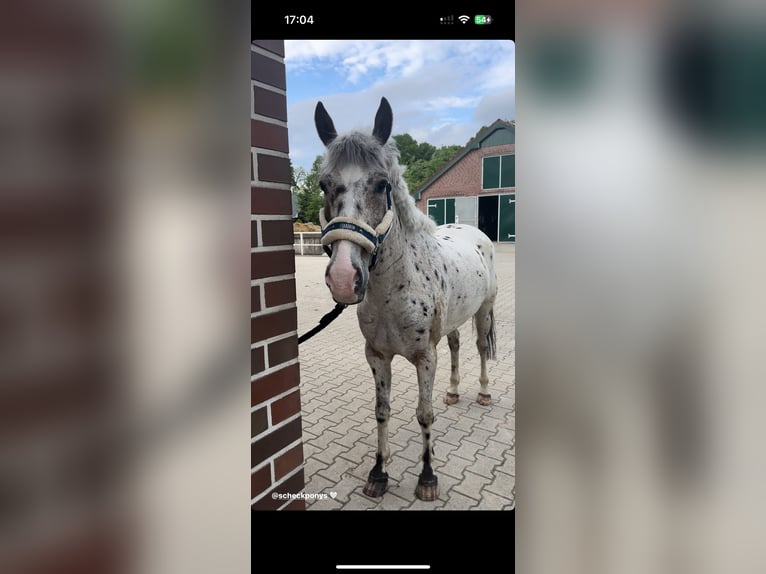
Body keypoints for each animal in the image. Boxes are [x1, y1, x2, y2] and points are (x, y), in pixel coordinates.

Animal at [316, 97, 500, 502]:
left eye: (382, 184)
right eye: (324, 185)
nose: (343, 278)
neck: (394, 292)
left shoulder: (424, 357)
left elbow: (424, 414)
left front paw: (427, 479)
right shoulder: (377, 356)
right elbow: (382, 411)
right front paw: (379, 473)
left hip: (484, 311)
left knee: (480, 347)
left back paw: (482, 393)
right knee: (456, 344)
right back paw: (453, 391)